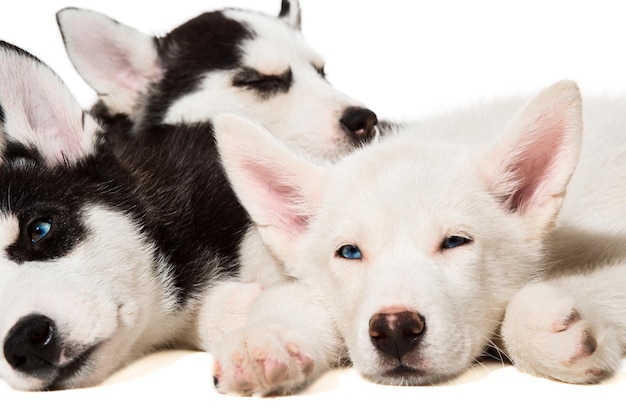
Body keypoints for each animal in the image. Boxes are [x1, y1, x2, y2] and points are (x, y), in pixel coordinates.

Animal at [211, 80, 624, 394]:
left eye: (455, 242)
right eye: (349, 252)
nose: (395, 329)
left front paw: (549, 322)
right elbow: (286, 295)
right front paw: (266, 338)